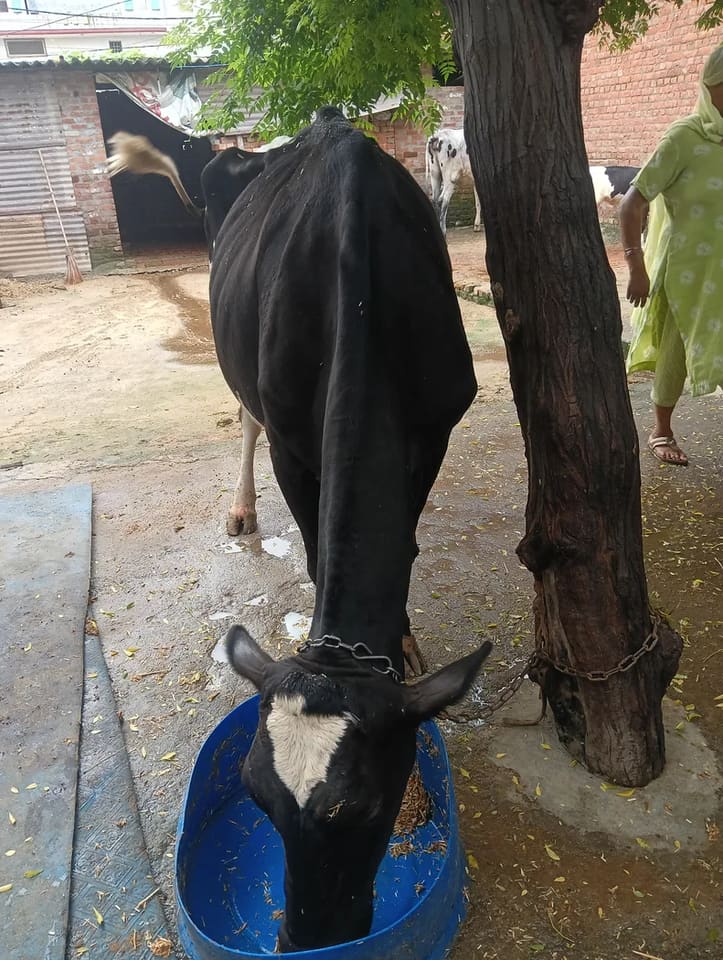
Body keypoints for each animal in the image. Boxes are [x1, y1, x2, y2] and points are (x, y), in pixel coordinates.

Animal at [109, 107, 491, 951]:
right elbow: (317, 549)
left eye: (368, 806)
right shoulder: (292, 439)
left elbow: (403, 542)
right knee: (242, 415)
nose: (303, 941)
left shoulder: (437, 422)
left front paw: (401, 643)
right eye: (255, 799)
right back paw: (242, 509)